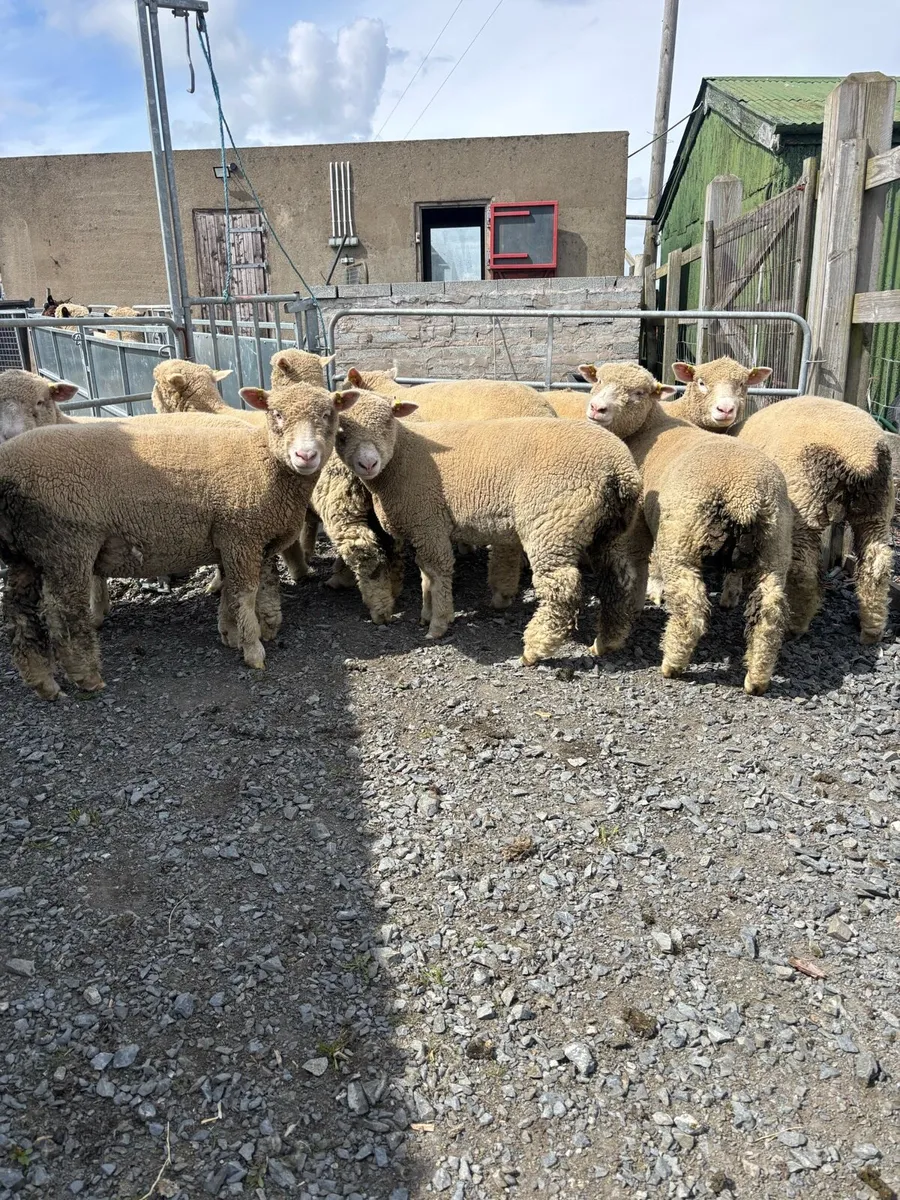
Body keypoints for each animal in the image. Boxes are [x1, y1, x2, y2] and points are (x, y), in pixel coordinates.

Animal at [0, 381, 358, 700]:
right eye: (277, 414)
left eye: (329, 413)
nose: (305, 455)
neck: (267, 464)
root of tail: (7, 470)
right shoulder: (241, 535)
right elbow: (245, 593)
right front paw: (253, 648)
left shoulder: (242, 536)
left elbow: (241, 589)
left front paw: (231, 632)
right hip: (68, 544)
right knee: (66, 613)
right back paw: (86, 677)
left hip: (26, 552)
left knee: (20, 616)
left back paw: (43, 683)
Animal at [332, 391, 643, 664]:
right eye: (340, 432)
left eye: (388, 422)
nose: (368, 463)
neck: (401, 457)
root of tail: (620, 470)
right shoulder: (424, 528)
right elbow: (426, 574)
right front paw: (426, 613)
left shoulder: (428, 521)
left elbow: (437, 572)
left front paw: (438, 623)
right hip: (612, 529)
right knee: (619, 580)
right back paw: (607, 641)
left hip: (552, 523)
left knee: (562, 590)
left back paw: (535, 649)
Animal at [579, 361, 793, 695]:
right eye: (598, 379)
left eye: (638, 393)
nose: (597, 408)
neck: (649, 429)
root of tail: (744, 493)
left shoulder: (639, 523)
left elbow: (638, 564)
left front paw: (634, 609)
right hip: (775, 545)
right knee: (769, 613)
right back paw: (757, 679)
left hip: (681, 537)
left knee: (690, 606)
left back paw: (672, 663)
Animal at [667, 359, 895, 644]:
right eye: (701, 381)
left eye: (743, 384)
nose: (725, 409)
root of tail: (860, 455)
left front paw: (729, 597)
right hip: (877, 506)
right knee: (878, 564)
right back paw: (872, 628)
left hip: (805, 505)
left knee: (806, 570)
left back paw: (798, 625)